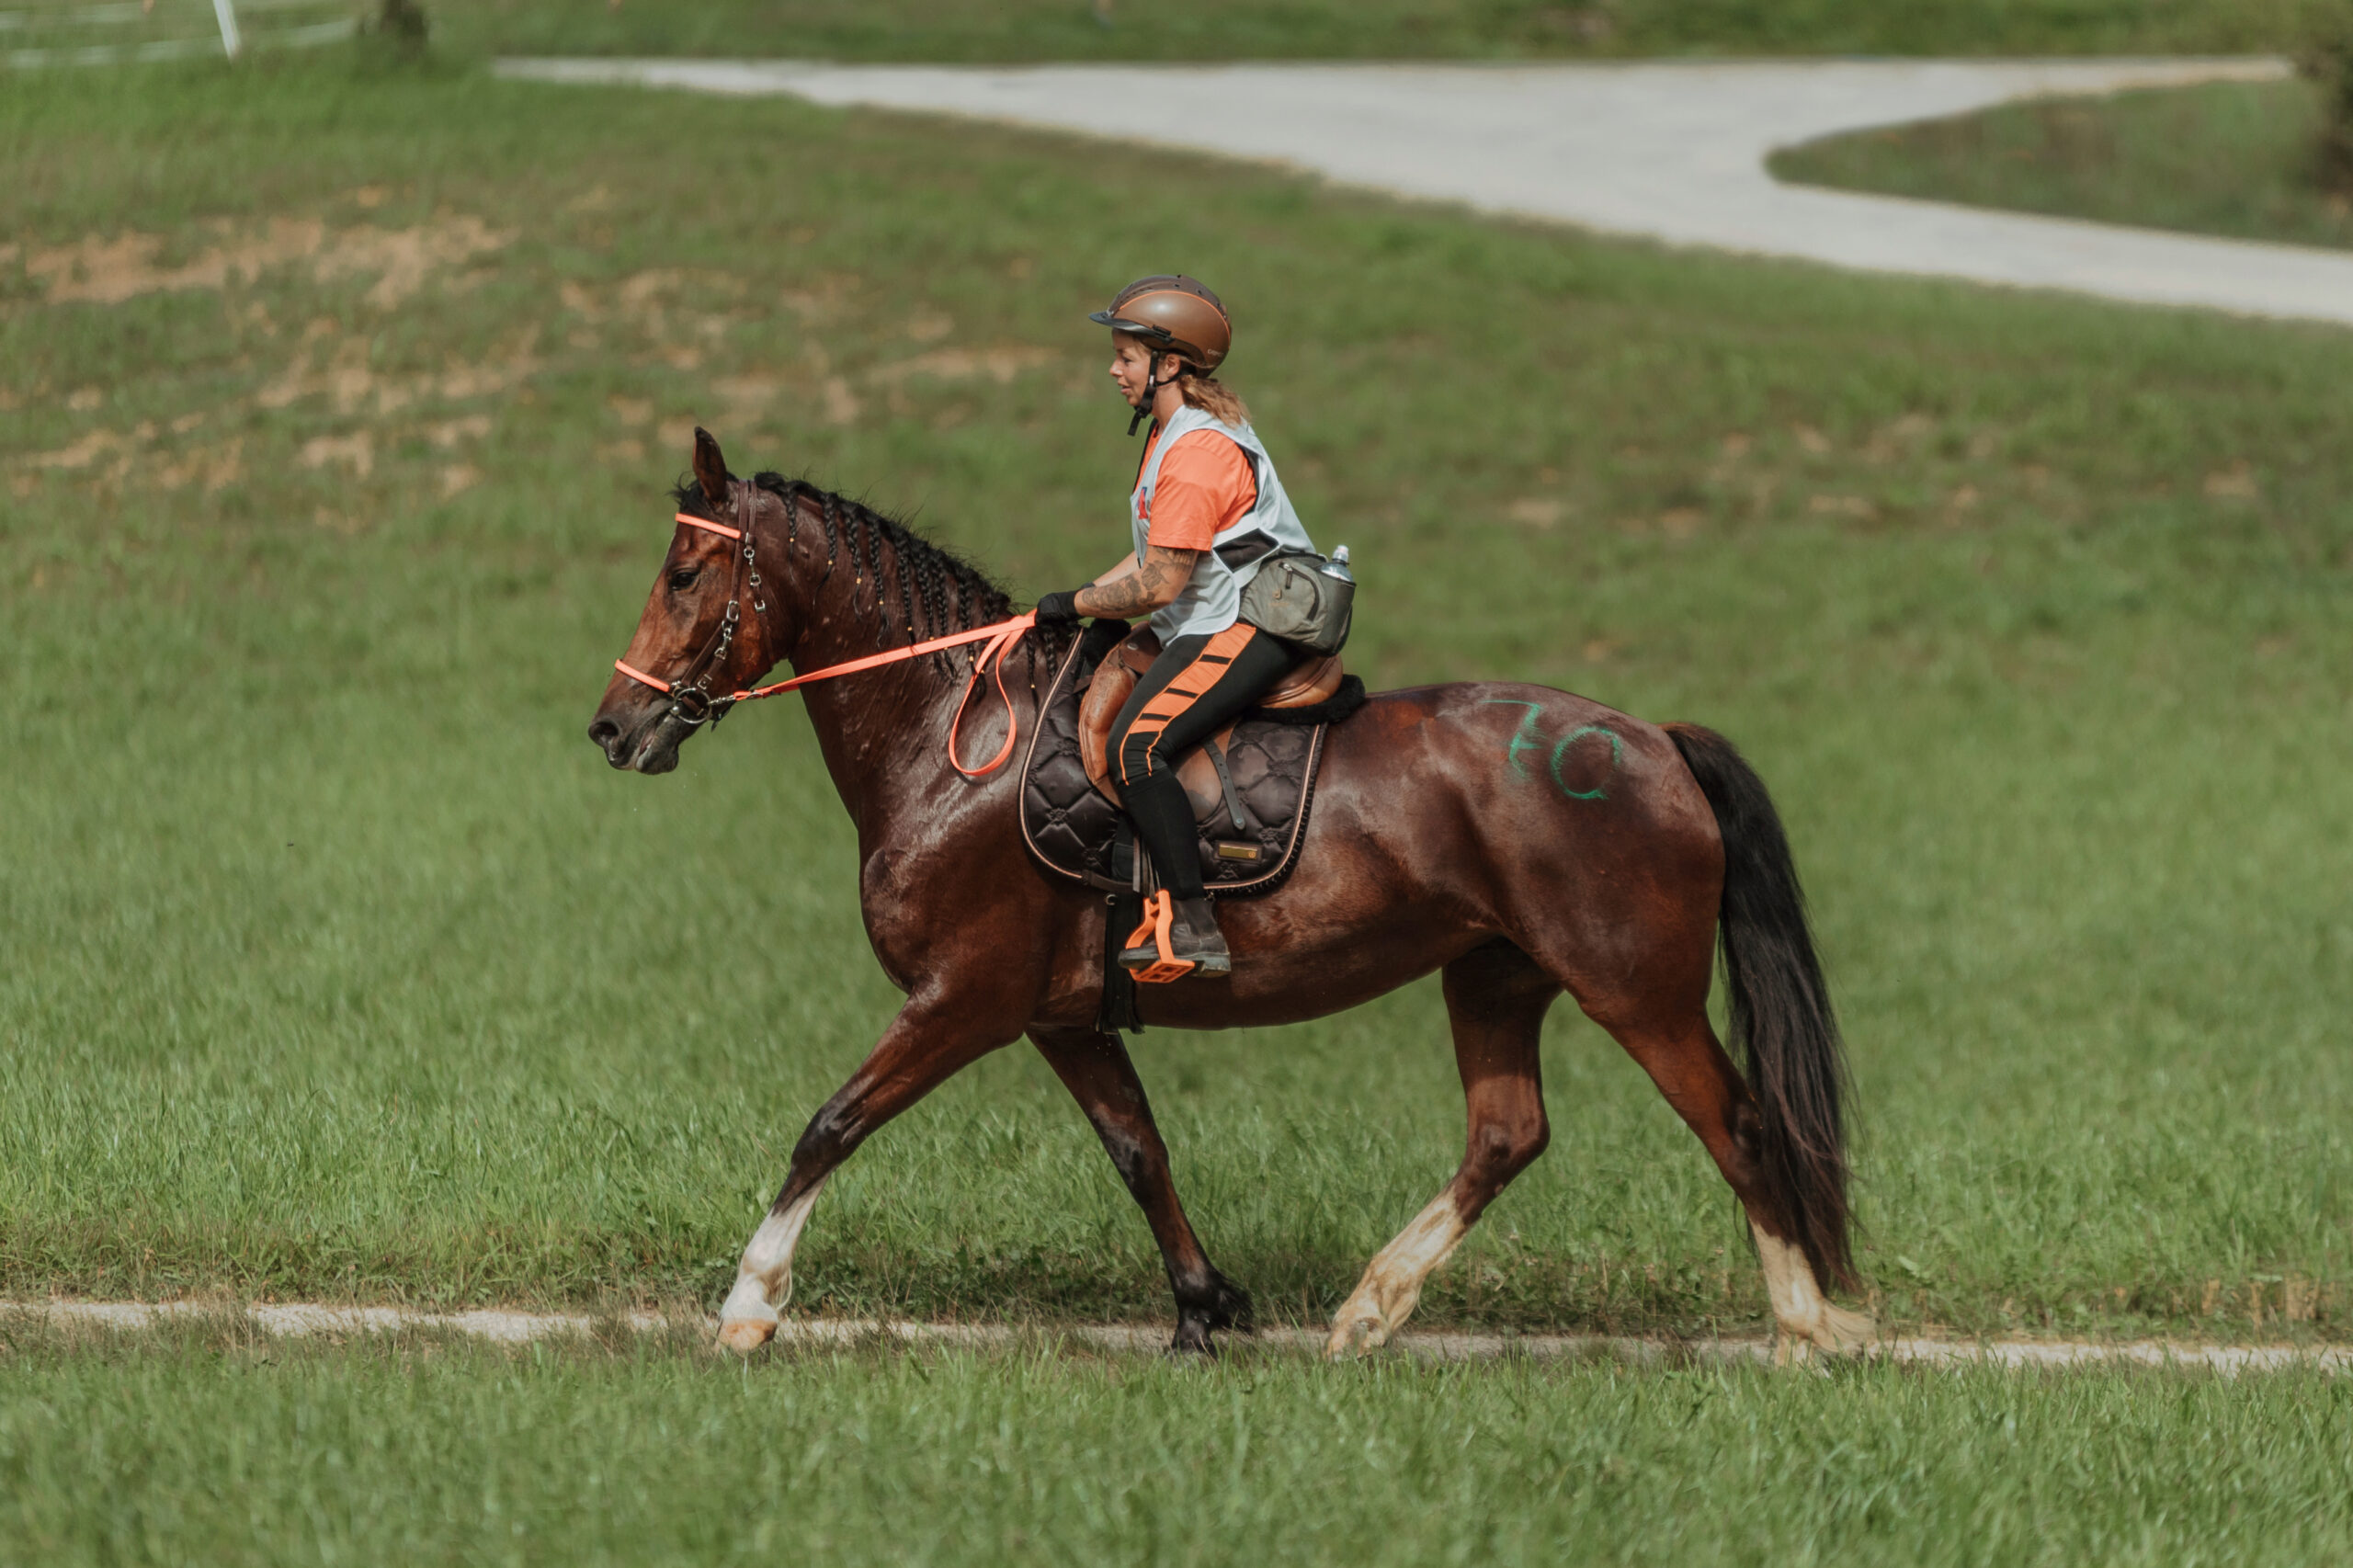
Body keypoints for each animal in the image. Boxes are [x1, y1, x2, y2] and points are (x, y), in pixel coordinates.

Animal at [593, 428, 1872, 1356]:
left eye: (684, 572)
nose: (613, 727)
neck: (957, 740)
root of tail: (1652, 739)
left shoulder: (964, 998)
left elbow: (831, 1121)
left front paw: (749, 1305)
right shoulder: (1060, 1015)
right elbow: (1139, 1150)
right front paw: (1205, 1307)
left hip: (1632, 986)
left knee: (1739, 1125)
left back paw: (1805, 1329)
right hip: (1495, 973)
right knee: (1508, 1133)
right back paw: (1369, 1308)